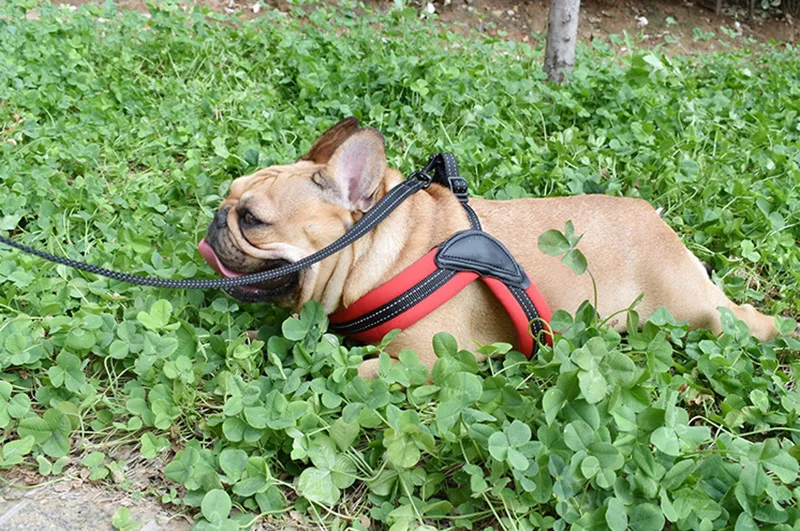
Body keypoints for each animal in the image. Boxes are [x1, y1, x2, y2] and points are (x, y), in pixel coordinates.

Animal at [198, 118, 788, 380]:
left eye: (252, 219)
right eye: (228, 196)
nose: (215, 220)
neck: (388, 249)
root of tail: (655, 218)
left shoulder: (419, 361)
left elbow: (350, 374)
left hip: (693, 309)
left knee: (746, 318)